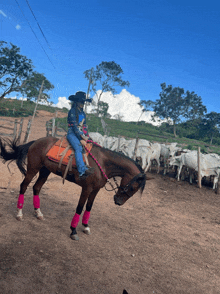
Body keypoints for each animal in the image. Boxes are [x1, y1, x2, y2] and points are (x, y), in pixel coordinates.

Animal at [0, 137, 148, 240]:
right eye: (132, 187)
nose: (118, 201)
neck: (103, 163)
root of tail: (36, 141)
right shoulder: (87, 188)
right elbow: (80, 207)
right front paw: (73, 230)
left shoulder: (95, 190)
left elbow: (89, 207)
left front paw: (86, 227)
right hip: (33, 168)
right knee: (24, 186)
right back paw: (19, 214)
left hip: (45, 171)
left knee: (36, 188)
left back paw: (38, 213)